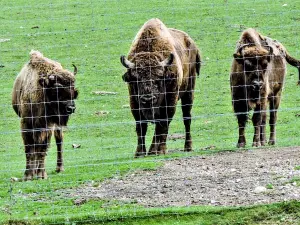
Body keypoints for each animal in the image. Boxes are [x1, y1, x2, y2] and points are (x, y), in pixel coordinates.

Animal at [11, 50, 78, 180]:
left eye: (73, 90)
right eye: (57, 89)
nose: (71, 108)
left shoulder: (48, 126)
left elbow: (42, 149)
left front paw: (41, 174)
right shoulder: (26, 124)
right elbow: (29, 149)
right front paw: (28, 175)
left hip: (57, 126)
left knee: (59, 142)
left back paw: (59, 168)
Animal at [120, 18, 202, 157]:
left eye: (158, 79)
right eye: (136, 79)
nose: (147, 99)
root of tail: (193, 45)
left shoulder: (169, 102)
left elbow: (163, 125)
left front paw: (162, 150)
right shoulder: (134, 102)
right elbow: (141, 127)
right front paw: (139, 153)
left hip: (189, 92)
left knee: (186, 118)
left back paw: (187, 147)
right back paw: (152, 150)